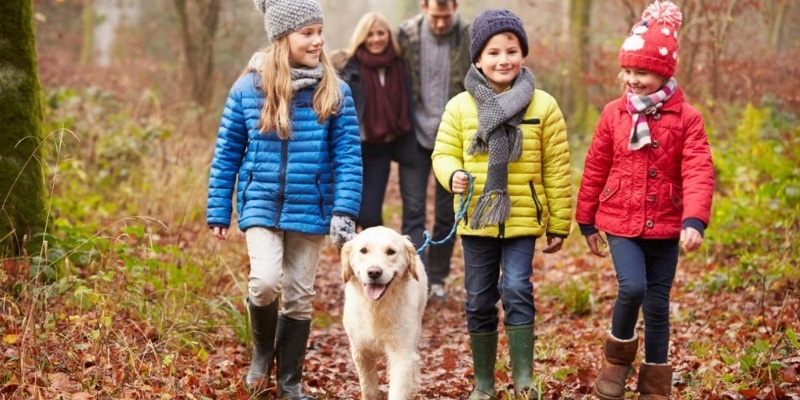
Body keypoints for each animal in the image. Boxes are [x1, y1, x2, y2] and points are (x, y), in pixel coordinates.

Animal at [340, 227, 428, 400]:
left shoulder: (402, 353)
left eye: (391, 252)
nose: (374, 272)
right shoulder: (361, 352)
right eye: (363, 250)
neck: (376, 306)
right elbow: (369, 390)